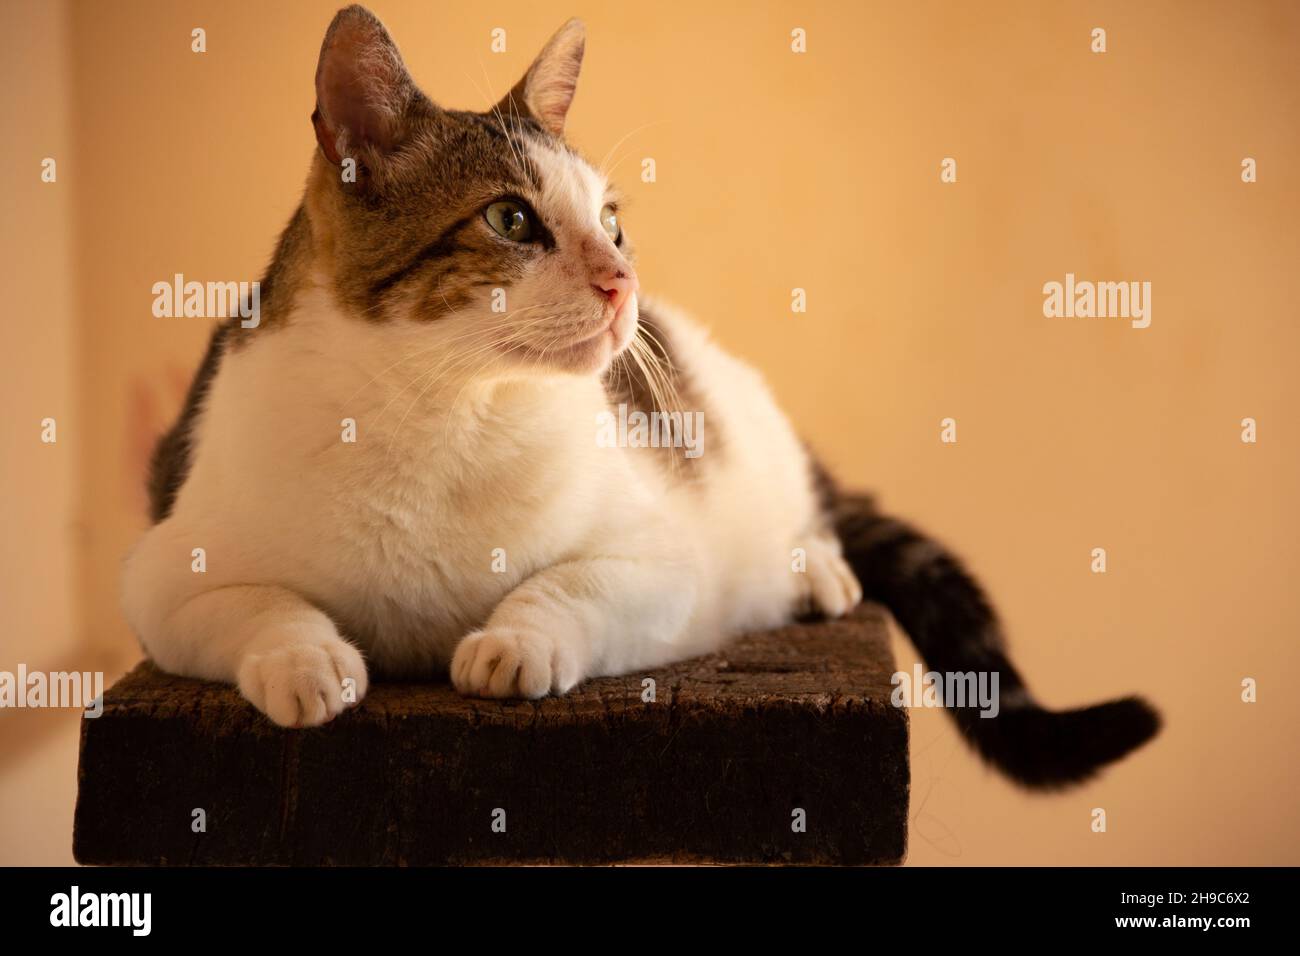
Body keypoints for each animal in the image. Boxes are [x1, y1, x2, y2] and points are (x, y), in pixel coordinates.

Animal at [122, 3, 1159, 790]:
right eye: (511, 219)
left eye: (611, 220)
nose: (623, 279)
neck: (446, 410)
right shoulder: (165, 569)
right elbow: (254, 605)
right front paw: (305, 658)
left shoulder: (665, 559)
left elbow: (573, 583)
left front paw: (518, 640)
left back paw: (813, 570)